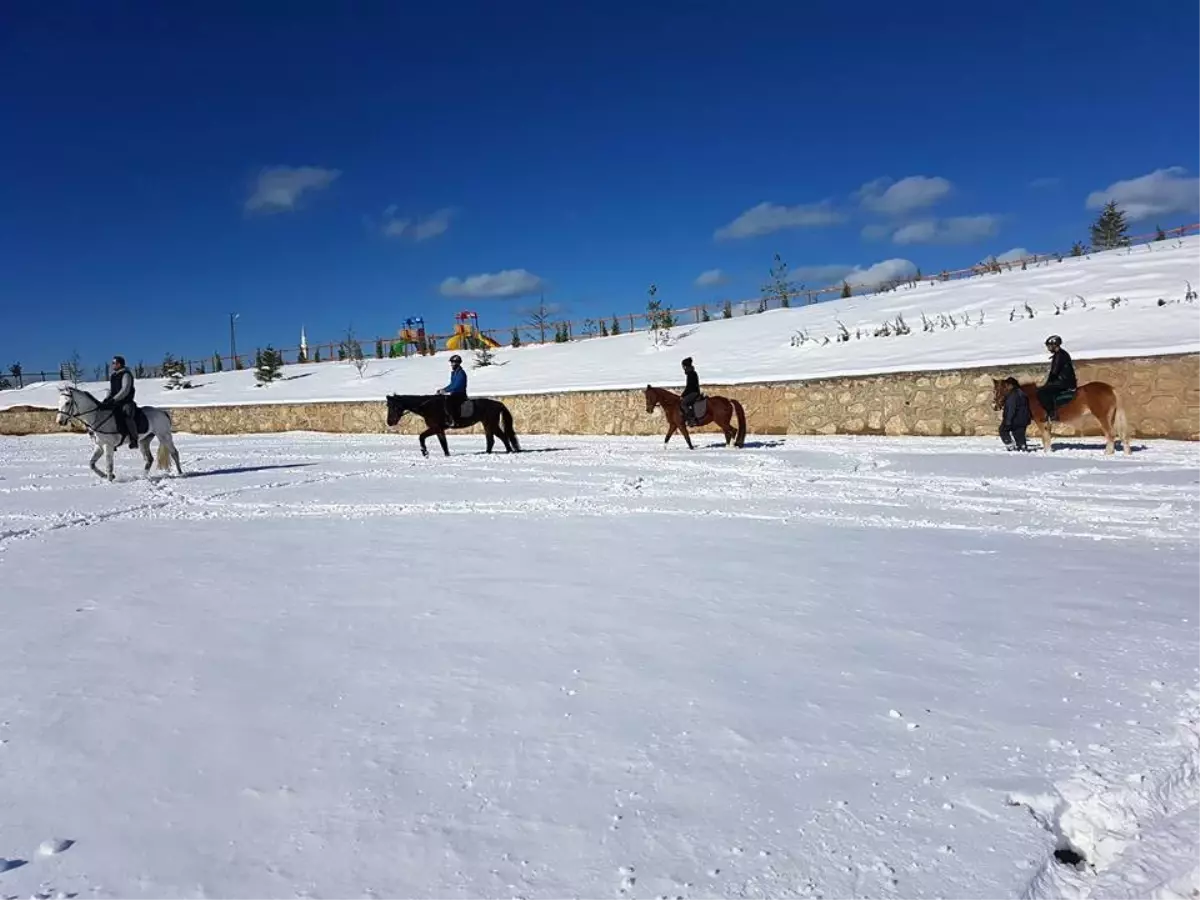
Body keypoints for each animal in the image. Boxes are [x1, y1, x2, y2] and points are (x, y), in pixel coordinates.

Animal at [381, 393, 518, 458]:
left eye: (394, 406)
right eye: (388, 406)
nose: (389, 422)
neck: (427, 406)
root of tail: (498, 404)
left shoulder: (436, 428)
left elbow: (421, 437)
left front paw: (425, 453)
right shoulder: (439, 429)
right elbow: (443, 443)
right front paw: (446, 455)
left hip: (491, 424)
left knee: (502, 437)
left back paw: (509, 452)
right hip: (487, 424)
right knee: (491, 439)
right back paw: (489, 453)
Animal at [988, 379, 1128, 458]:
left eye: (997, 390)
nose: (994, 406)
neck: (1029, 397)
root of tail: (1110, 388)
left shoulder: (1041, 421)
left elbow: (1045, 437)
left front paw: (1046, 451)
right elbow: (1047, 437)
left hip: (1103, 417)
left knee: (1110, 434)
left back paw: (1108, 453)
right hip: (1111, 418)